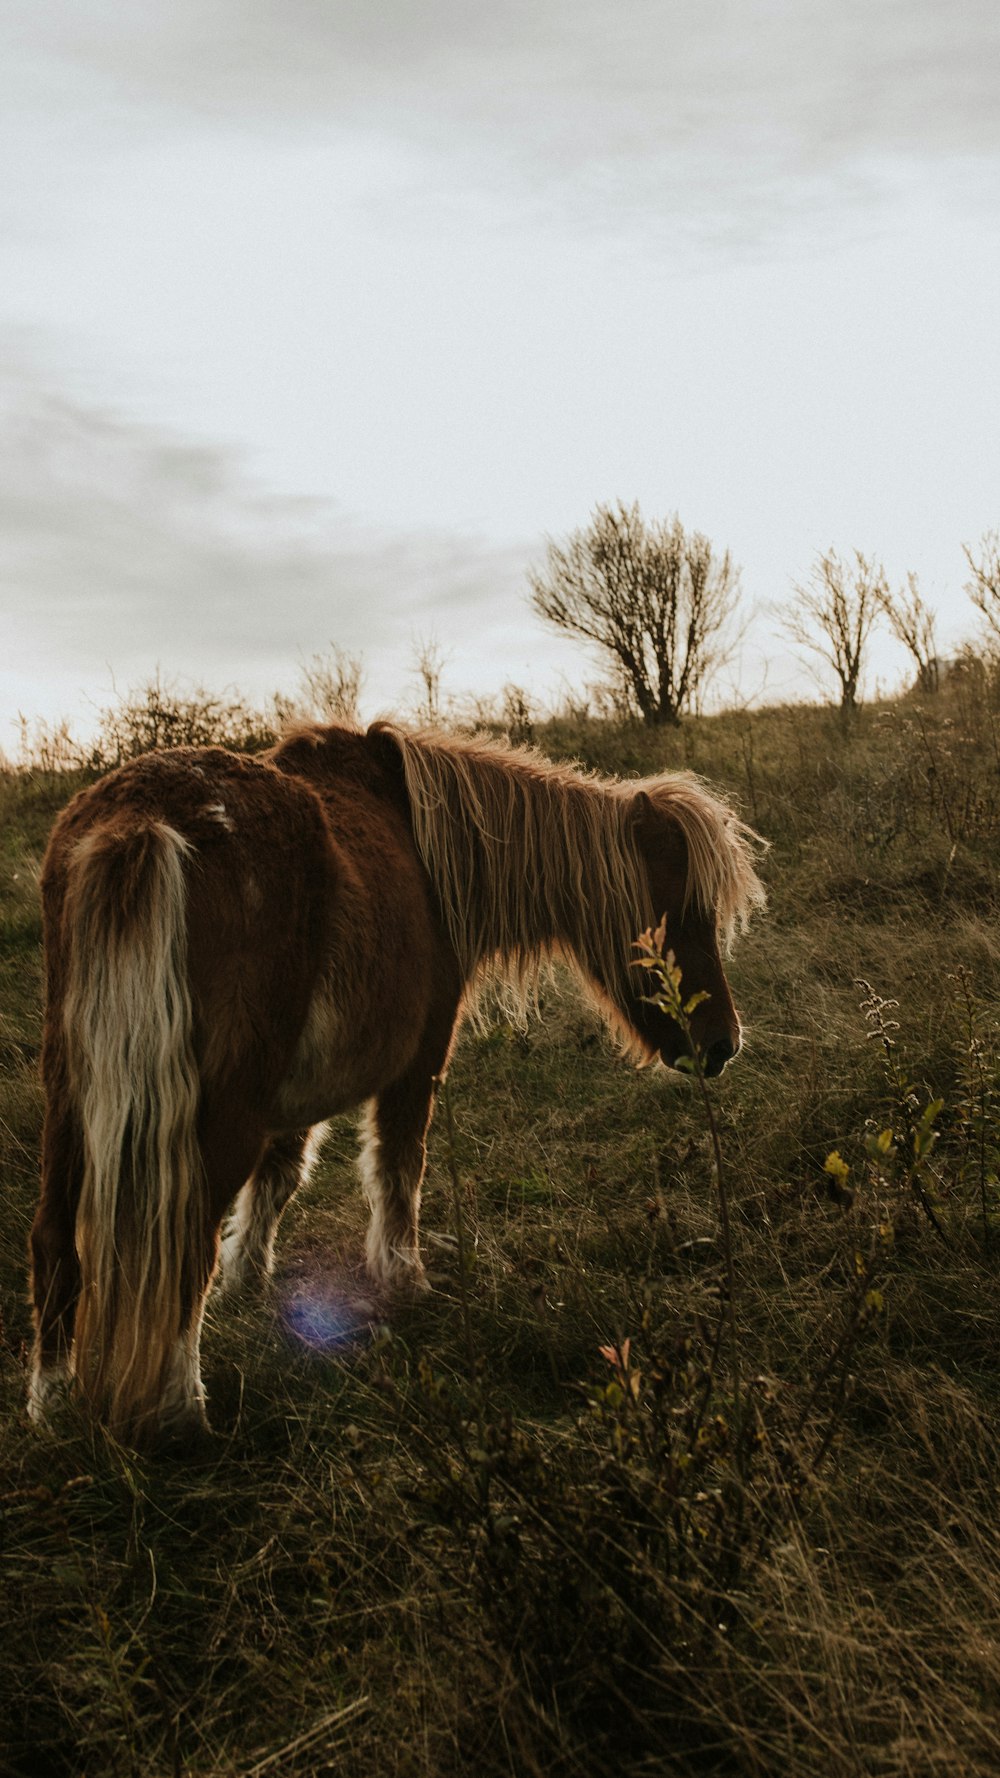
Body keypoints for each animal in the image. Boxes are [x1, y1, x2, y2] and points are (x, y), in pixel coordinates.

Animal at [29, 718, 761, 1443]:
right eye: (678, 911)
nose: (722, 1044)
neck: (426, 850)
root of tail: (142, 825)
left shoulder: (296, 1086)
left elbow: (280, 1176)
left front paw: (250, 1275)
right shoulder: (419, 1057)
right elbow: (399, 1164)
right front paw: (403, 1276)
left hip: (70, 1104)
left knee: (55, 1238)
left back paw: (52, 1402)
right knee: (180, 1238)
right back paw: (180, 1410)